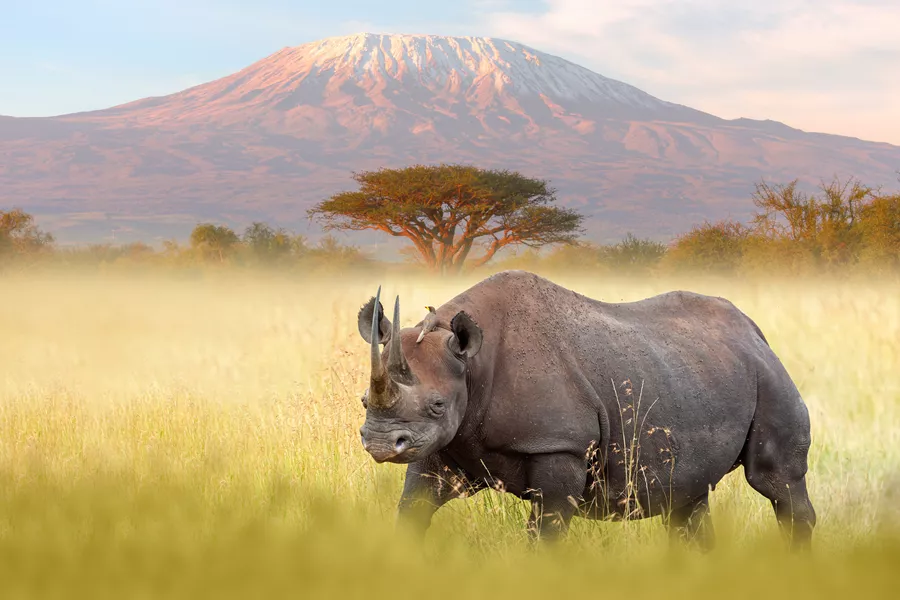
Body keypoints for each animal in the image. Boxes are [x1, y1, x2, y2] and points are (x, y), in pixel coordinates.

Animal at [357, 270, 816, 549]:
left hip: (768, 376)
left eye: (437, 405)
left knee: (775, 480)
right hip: (696, 374)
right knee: (687, 500)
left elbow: (546, 533)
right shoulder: (444, 445)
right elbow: (412, 512)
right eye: (363, 401)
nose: (380, 443)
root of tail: (754, 331)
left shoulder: (560, 445)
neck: (472, 366)